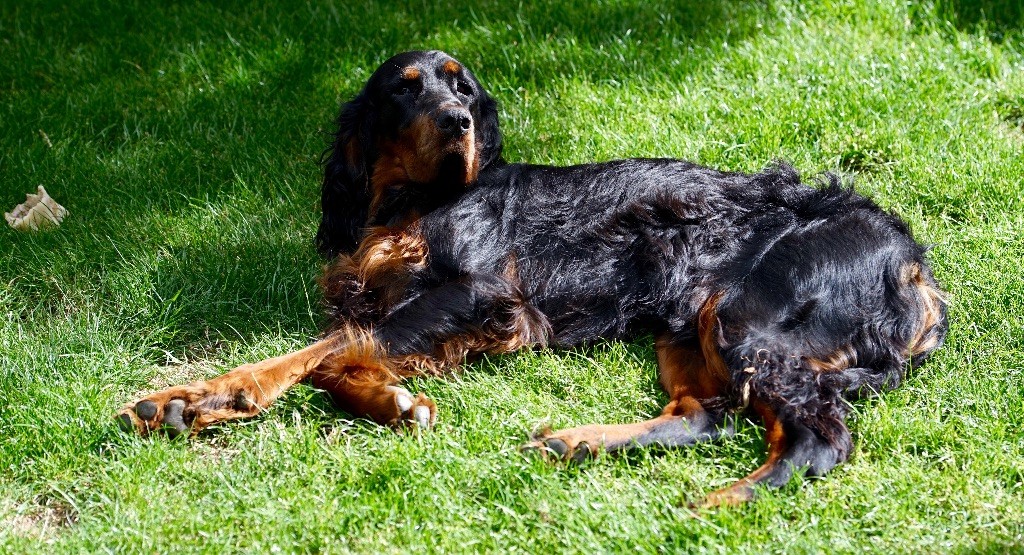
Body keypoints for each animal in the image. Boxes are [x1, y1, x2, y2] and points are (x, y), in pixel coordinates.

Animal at [116, 51, 946, 509]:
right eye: (406, 88)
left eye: (463, 89)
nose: (456, 121)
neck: (411, 201)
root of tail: (910, 260)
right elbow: (346, 347)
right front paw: (391, 400)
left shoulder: (484, 295)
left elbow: (323, 350)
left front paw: (198, 396)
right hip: (691, 320)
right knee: (702, 415)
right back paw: (578, 443)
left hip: (748, 317)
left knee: (818, 436)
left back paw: (722, 500)